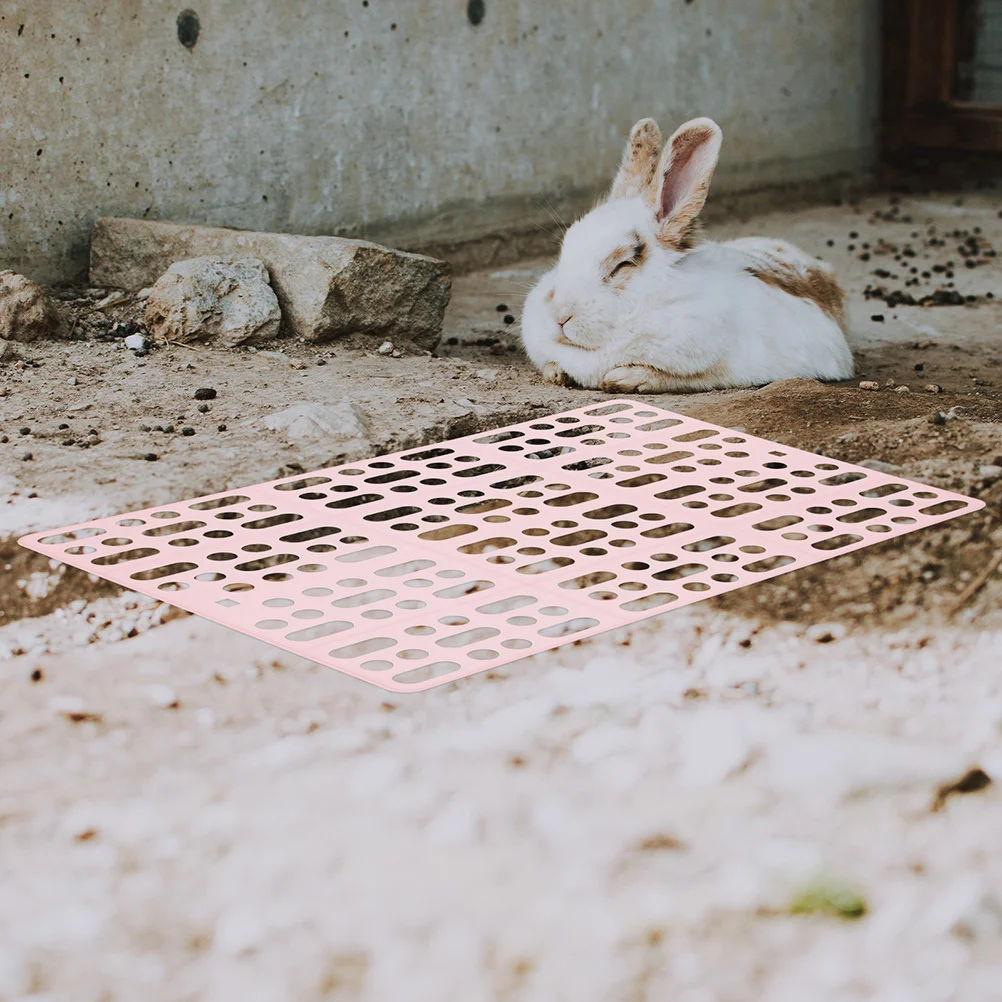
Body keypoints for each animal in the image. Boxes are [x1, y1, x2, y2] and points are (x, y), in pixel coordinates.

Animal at [520, 116, 854, 393]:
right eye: (565, 248)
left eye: (621, 265)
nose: (560, 315)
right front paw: (556, 373)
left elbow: (685, 376)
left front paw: (626, 378)